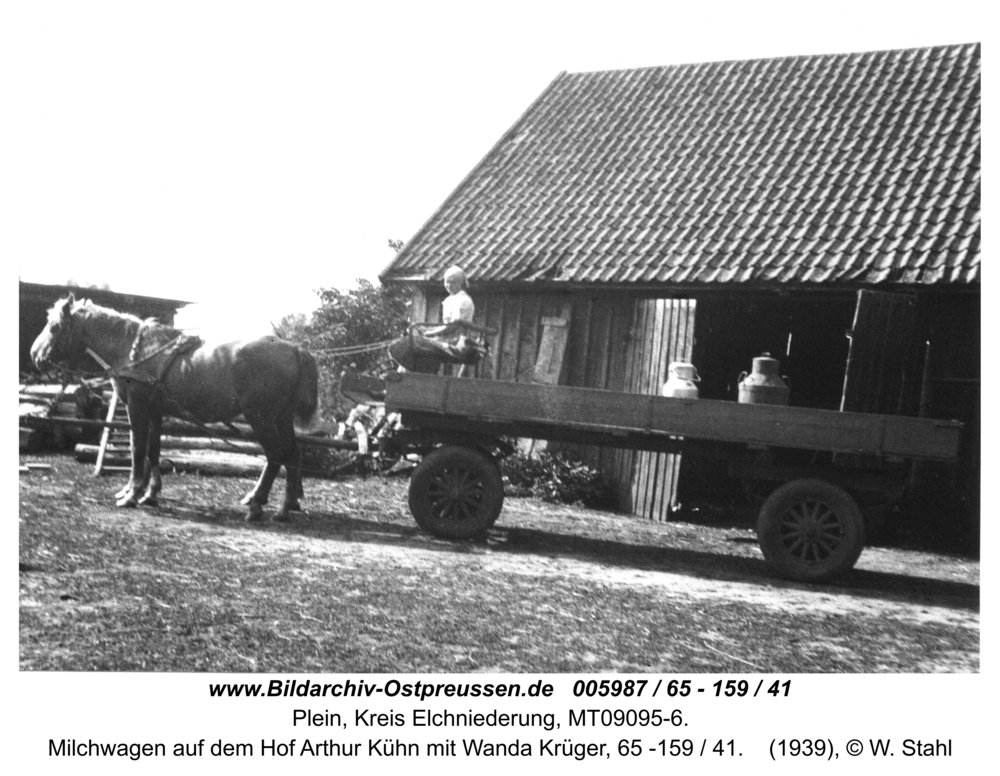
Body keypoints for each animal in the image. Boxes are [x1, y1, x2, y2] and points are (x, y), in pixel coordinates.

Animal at [31, 296, 318, 520]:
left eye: (54, 326)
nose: (35, 355)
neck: (134, 350)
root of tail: (294, 348)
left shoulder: (137, 407)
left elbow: (137, 449)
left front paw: (132, 494)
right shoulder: (155, 411)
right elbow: (153, 451)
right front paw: (150, 493)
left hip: (260, 418)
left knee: (275, 456)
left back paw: (260, 505)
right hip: (281, 419)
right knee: (291, 455)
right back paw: (286, 505)